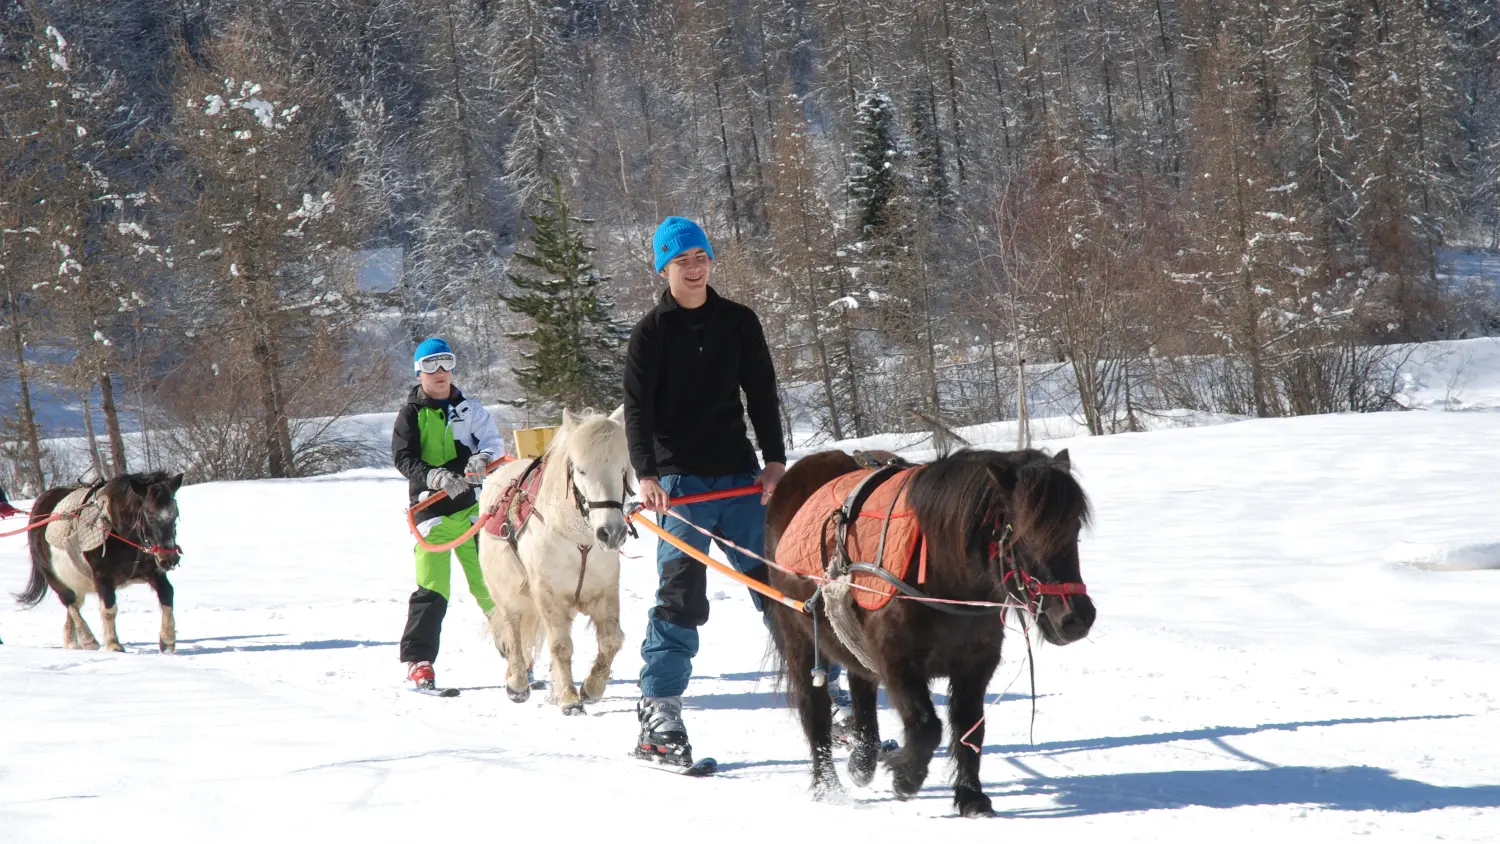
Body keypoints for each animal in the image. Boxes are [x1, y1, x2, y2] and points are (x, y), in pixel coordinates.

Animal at [13, 473, 185, 656]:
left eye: (175, 515)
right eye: (149, 516)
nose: (169, 559)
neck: (120, 533)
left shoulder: (152, 571)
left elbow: (167, 593)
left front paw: (167, 640)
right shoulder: (102, 577)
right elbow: (109, 609)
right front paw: (113, 644)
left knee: (74, 605)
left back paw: (71, 641)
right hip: (53, 576)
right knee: (70, 603)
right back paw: (87, 639)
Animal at [480, 404, 633, 716]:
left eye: (622, 469)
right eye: (582, 470)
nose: (612, 533)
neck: (579, 540)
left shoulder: (605, 593)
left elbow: (611, 641)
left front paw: (591, 688)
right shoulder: (548, 595)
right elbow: (561, 646)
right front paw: (569, 699)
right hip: (507, 594)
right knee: (513, 631)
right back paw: (517, 683)